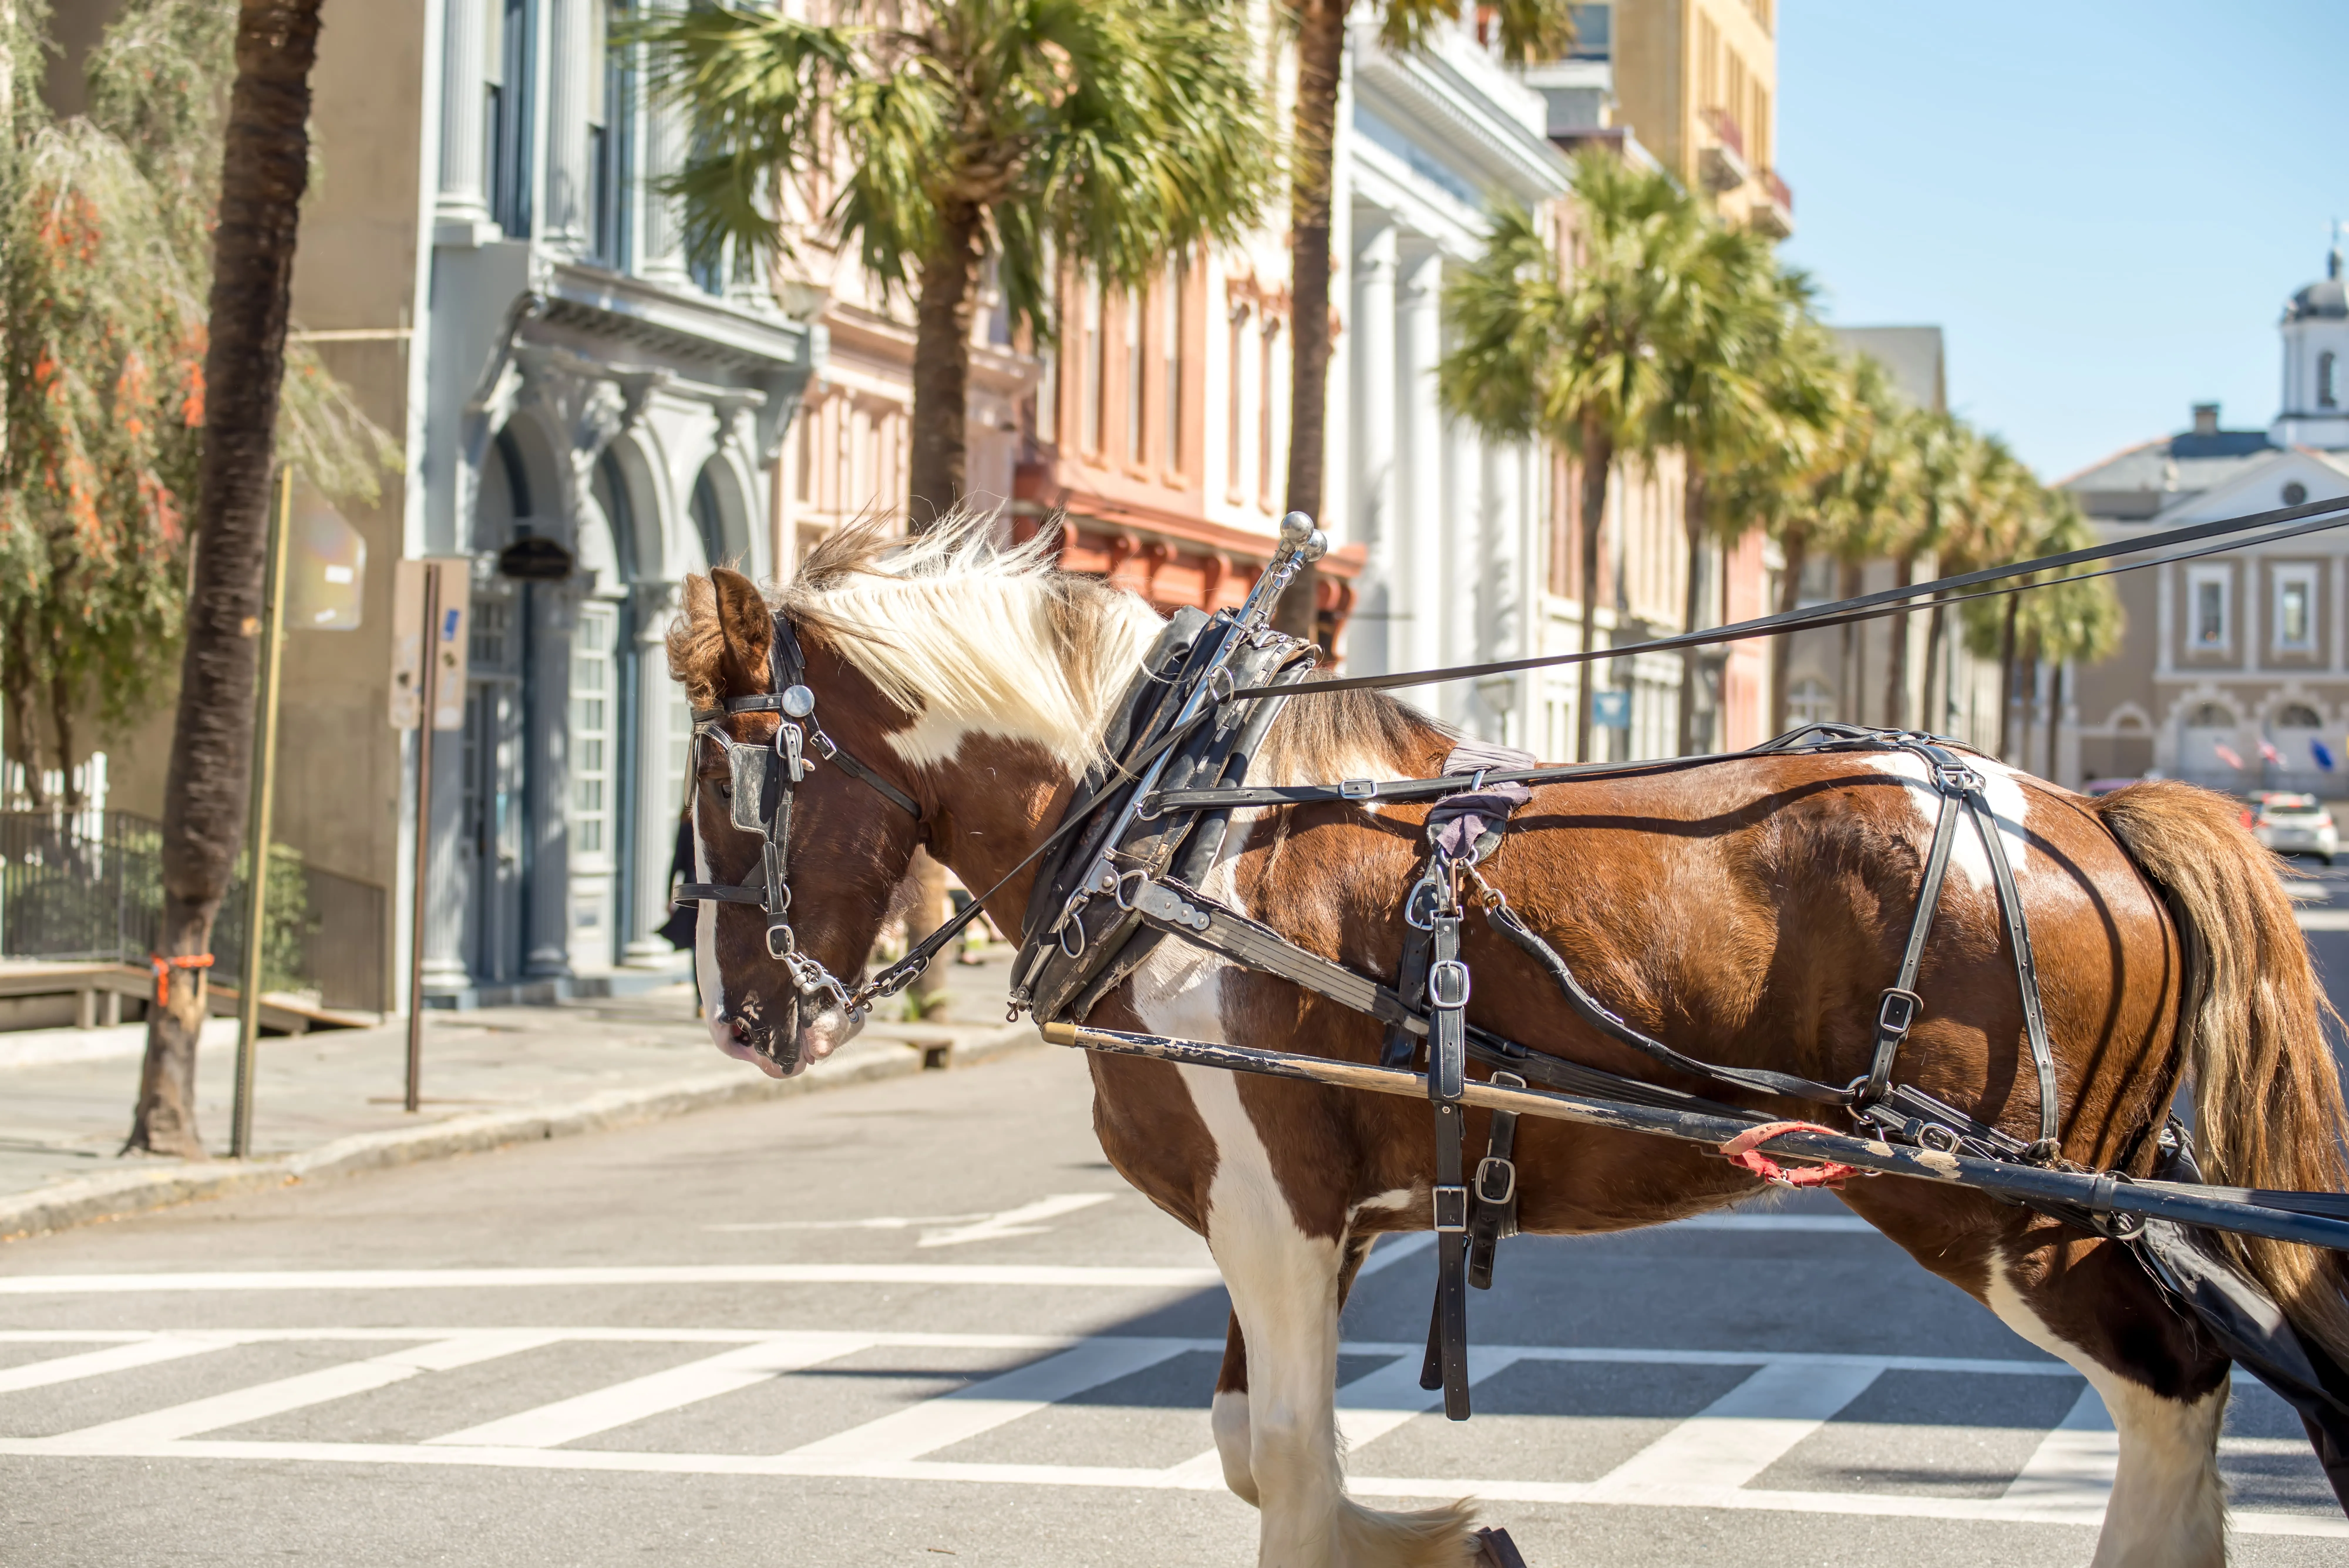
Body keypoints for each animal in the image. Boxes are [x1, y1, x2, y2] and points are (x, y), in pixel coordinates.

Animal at [667, 520, 2349, 1568]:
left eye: (730, 778)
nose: (741, 1021)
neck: (1170, 828)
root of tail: (2101, 822)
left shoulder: (1271, 1202)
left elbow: (1290, 1466)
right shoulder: (1313, 1216)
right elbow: (1252, 1443)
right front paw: (1449, 1536)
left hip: (1993, 1204)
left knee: (2173, 1390)